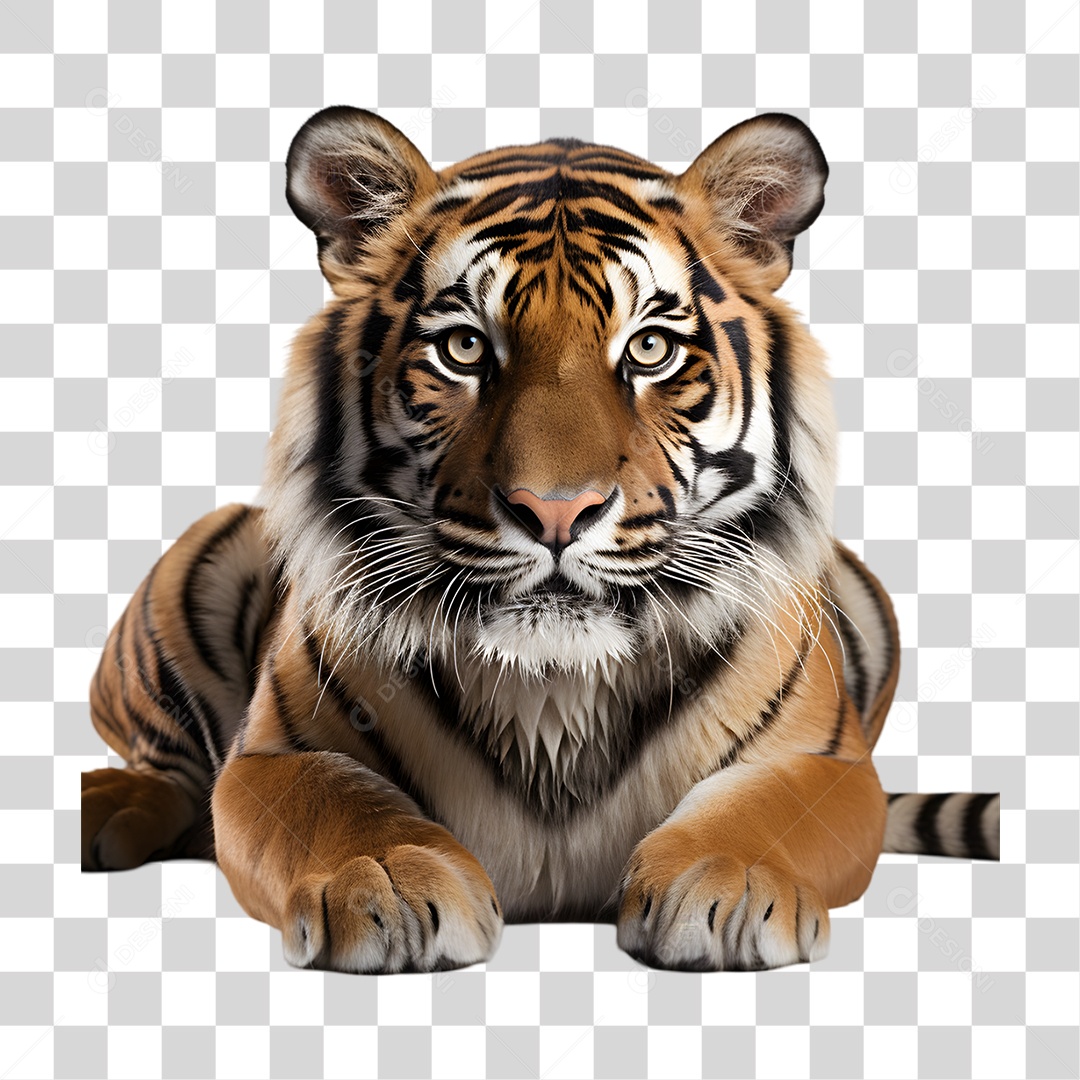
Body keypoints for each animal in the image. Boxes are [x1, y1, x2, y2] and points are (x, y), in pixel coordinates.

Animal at [81, 107, 1000, 973]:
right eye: (463, 347)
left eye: (651, 348)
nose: (555, 512)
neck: (557, 689)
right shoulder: (273, 756)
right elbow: (332, 800)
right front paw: (385, 882)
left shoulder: (827, 763)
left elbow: (761, 809)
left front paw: (728, 885)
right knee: (167, 767)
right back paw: (105, 814)